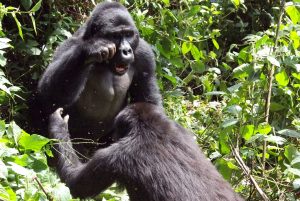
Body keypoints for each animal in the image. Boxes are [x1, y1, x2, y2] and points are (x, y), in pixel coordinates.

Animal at [31, 1, 161, 155]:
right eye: (116, 36)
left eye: (129, 34)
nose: (126, 51)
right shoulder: (68, 45)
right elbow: (48, 98)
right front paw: (90, 49)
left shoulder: (144, 53)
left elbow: (147, 102)